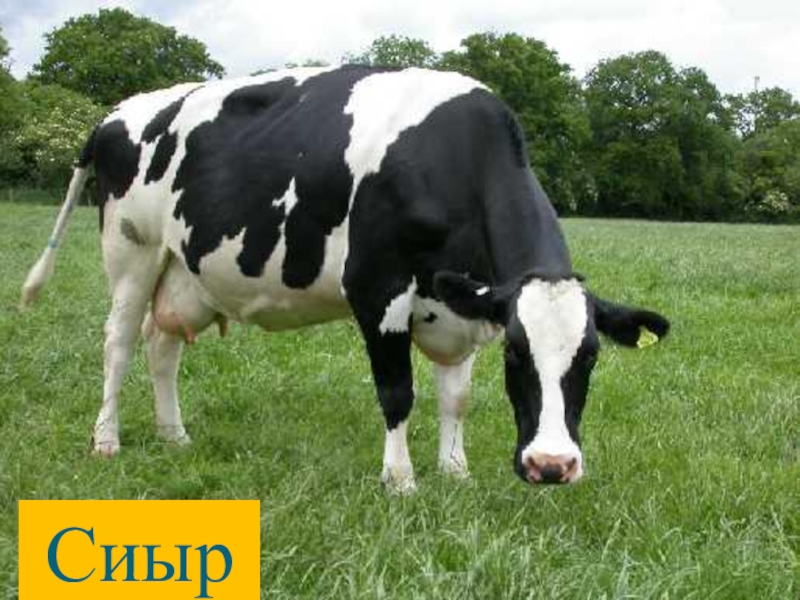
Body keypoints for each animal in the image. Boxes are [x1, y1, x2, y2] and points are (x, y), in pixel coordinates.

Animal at [21, 66, 670, 492]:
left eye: (590, 355)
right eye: (517, 353)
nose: (552, 466)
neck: (450, 158)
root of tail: (115, 112)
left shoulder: (463, 305)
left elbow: (456, 398)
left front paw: (455, 472)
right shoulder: (378, 291)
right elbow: (397, 392)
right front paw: (401, 480)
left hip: (187, 271)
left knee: (162, 347)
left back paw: (174, 436)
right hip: (132, 252)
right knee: (119, 343)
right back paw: (107, 439)